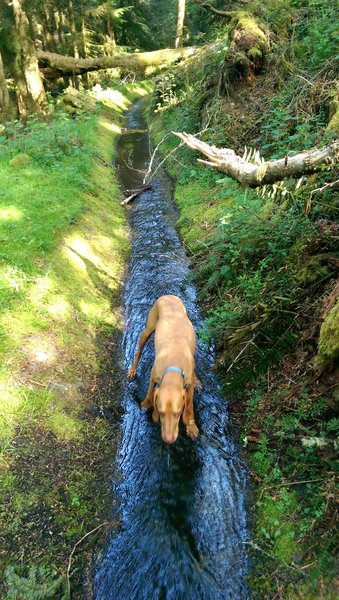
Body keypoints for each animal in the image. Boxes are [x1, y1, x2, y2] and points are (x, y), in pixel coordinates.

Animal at [129, 296, 201, 446]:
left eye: (178, 413)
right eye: (161, 413)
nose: (168, 440)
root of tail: (168, 295)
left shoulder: (188, 384)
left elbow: (190, 405)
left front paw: (191, 426)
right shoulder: (154, 375)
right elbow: (150, 391)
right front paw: (146, 404)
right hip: (148, 329)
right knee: (139, 351)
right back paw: (133, 369)